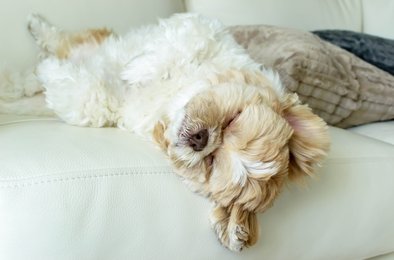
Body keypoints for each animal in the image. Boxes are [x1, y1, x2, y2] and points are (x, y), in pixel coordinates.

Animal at [0, 13, 330, 251]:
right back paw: (37, 31)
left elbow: (88, 98)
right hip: (96, 41)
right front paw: (138, 68)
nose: (200, 140)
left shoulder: (105, 106)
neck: (169, 101)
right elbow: (182, 40)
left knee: (36, 76)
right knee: (65, 42)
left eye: (210, 164)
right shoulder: (206, 33)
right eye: (232, 121)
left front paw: (52, 71)